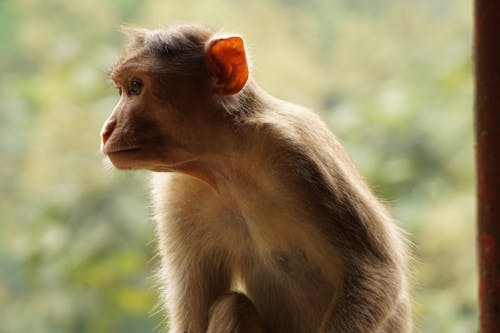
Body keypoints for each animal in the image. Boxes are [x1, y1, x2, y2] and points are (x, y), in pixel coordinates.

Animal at [99, 24, 412, 332]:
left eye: (135, 87)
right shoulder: (177, 190)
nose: (107, 129)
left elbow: (374, 271)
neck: (225, 163)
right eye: (122, 89)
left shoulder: (297, 148)